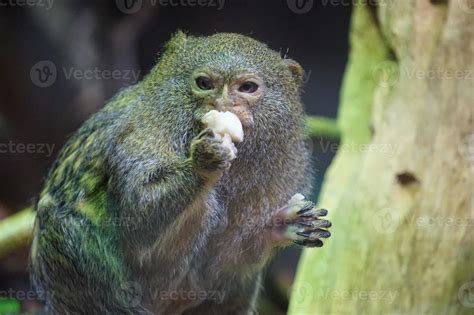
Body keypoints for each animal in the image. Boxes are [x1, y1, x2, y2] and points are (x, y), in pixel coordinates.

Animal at [28, 32, 330, 315]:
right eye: (204, 84)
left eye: (247, 88)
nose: (222, 104)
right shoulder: (136, 136)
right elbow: (138, 217)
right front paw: (204, 161)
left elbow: (230, 261)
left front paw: (284, 223)